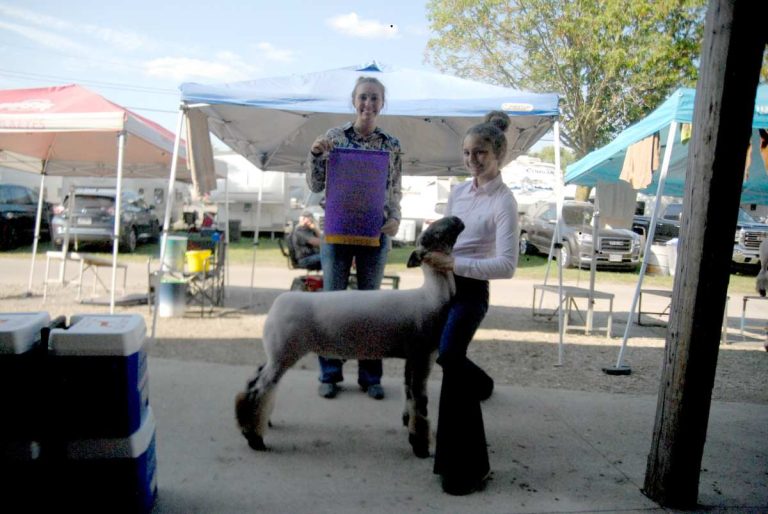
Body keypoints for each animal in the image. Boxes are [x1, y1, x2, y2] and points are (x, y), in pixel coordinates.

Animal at [234, 216, 464, 456]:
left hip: (277, 353)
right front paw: (420, 446)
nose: (458, 219)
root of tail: (278, 304)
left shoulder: (411, 357)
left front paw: (407, 425)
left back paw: (262, 423)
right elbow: (420, 402)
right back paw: (255, 439)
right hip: (283, 353)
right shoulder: (422, 354)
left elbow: (409, 395)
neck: (432, 296)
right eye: (434, 234)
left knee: (255, 380)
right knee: (259, 390)